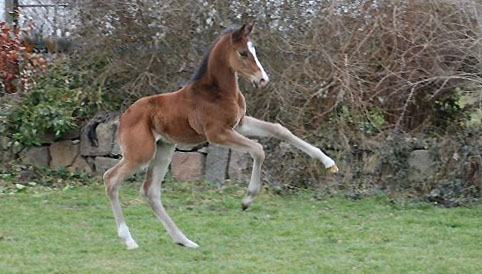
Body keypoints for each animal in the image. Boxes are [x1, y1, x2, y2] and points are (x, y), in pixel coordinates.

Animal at [104, 24, 338, 250]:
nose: (263, 80)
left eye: (254, 50)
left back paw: (184, 240)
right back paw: (129, 240)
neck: (217, 92)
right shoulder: (217, 133)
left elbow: (280, 130)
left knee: (150, 191)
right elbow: (258, 150)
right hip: (141, 154)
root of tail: (124, 116)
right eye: (243, 53)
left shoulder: (239, 125)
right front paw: (247, 199)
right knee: (111, 179)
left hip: (164, 150)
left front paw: (329, 163)